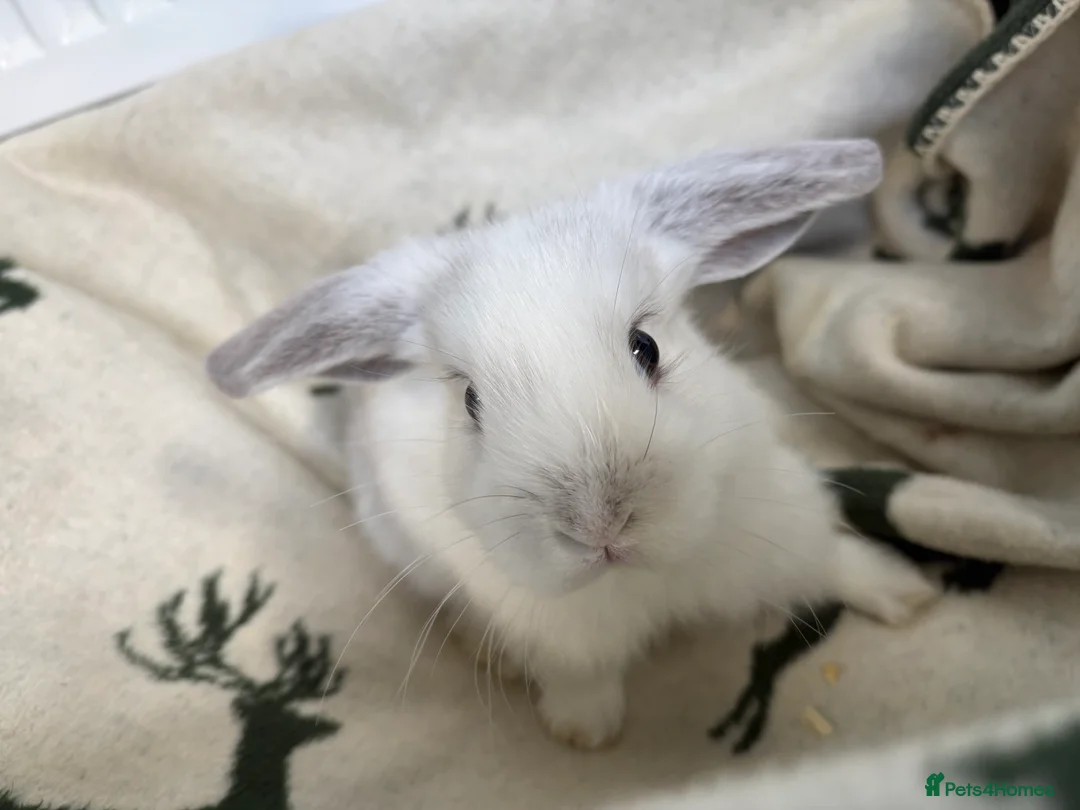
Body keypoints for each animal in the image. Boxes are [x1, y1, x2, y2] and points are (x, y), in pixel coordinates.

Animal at [205, 139, 940, 750]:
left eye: (646, 347)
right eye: (469, 401)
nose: (599, 526)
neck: (643, 581)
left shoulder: (780, 527)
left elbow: (833, 558)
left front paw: (907, 595)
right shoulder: (552, 629)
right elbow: (577, 674)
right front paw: (585, 731)